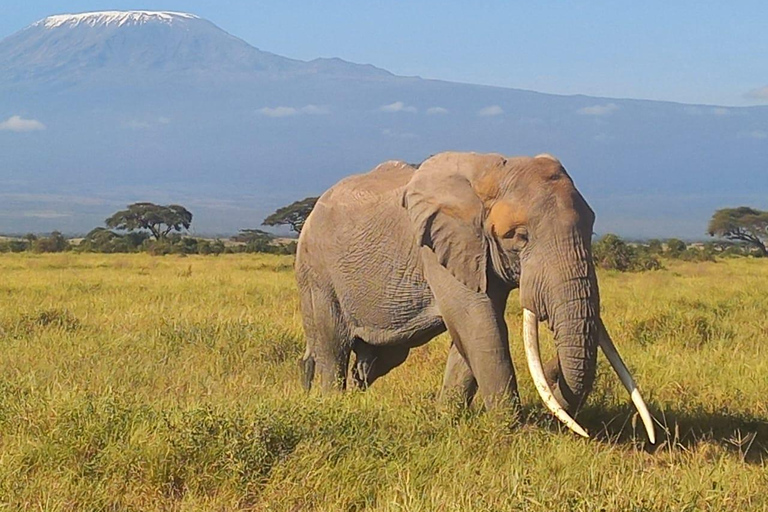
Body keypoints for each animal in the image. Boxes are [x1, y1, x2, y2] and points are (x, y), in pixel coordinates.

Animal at [296, 150, 656, 442]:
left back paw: (354, 400)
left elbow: (472, 333)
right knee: (333, 348)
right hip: (316, 272)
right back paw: (332, 405)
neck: (493, 171)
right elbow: (480, 324)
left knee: (378, 357)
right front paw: (512, 430)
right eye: (519, 236)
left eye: (591, 229)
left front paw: (447, 418)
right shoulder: (436, 246)